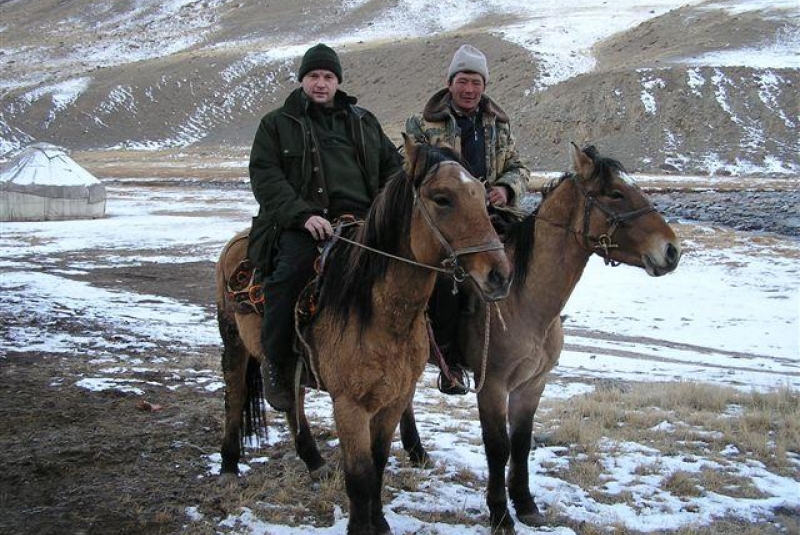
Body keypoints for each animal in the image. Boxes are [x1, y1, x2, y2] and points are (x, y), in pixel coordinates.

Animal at [214, 139, 512, 535]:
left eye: (481, 193)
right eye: (442, 198)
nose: (499, 275)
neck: (382, 314)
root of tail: (236, 243)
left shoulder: (395, 399)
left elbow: (379, 463)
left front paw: (381, 522)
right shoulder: (350, 406)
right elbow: (359, 476)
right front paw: (361, 526)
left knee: (294, 403)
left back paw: (313, 460)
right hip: (233, 343)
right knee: (234, 397)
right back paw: (229, 466)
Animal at [400, 143, 680, 535]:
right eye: (615, 193)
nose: (671, 250)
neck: (525, 300)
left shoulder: (532, 385)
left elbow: (521, 443)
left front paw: (526, 504)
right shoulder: (493, 386)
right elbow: (497, 447)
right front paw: (500, 514)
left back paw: (418, 453)